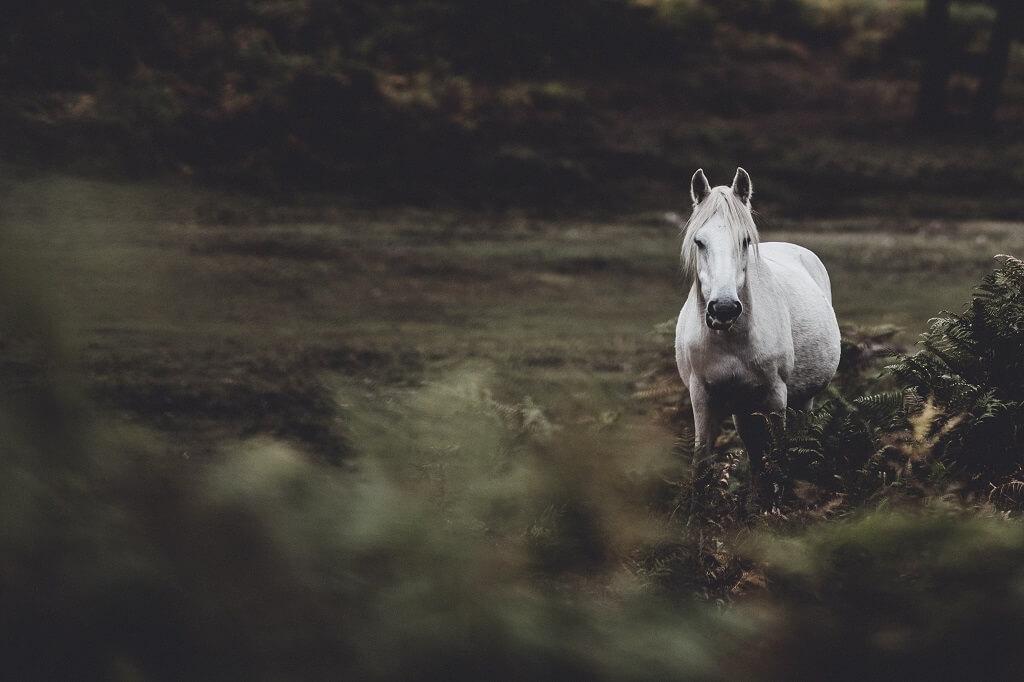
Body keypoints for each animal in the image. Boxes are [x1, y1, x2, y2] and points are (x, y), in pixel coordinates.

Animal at [671, 168, 839, 485]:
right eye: (699, 242)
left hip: (803, 401)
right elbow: (702, 464)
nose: (724, 309)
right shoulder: (702, 398)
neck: (730, 341)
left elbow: (780, 458)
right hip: (743, 410)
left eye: (745, 241)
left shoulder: (775, 397)